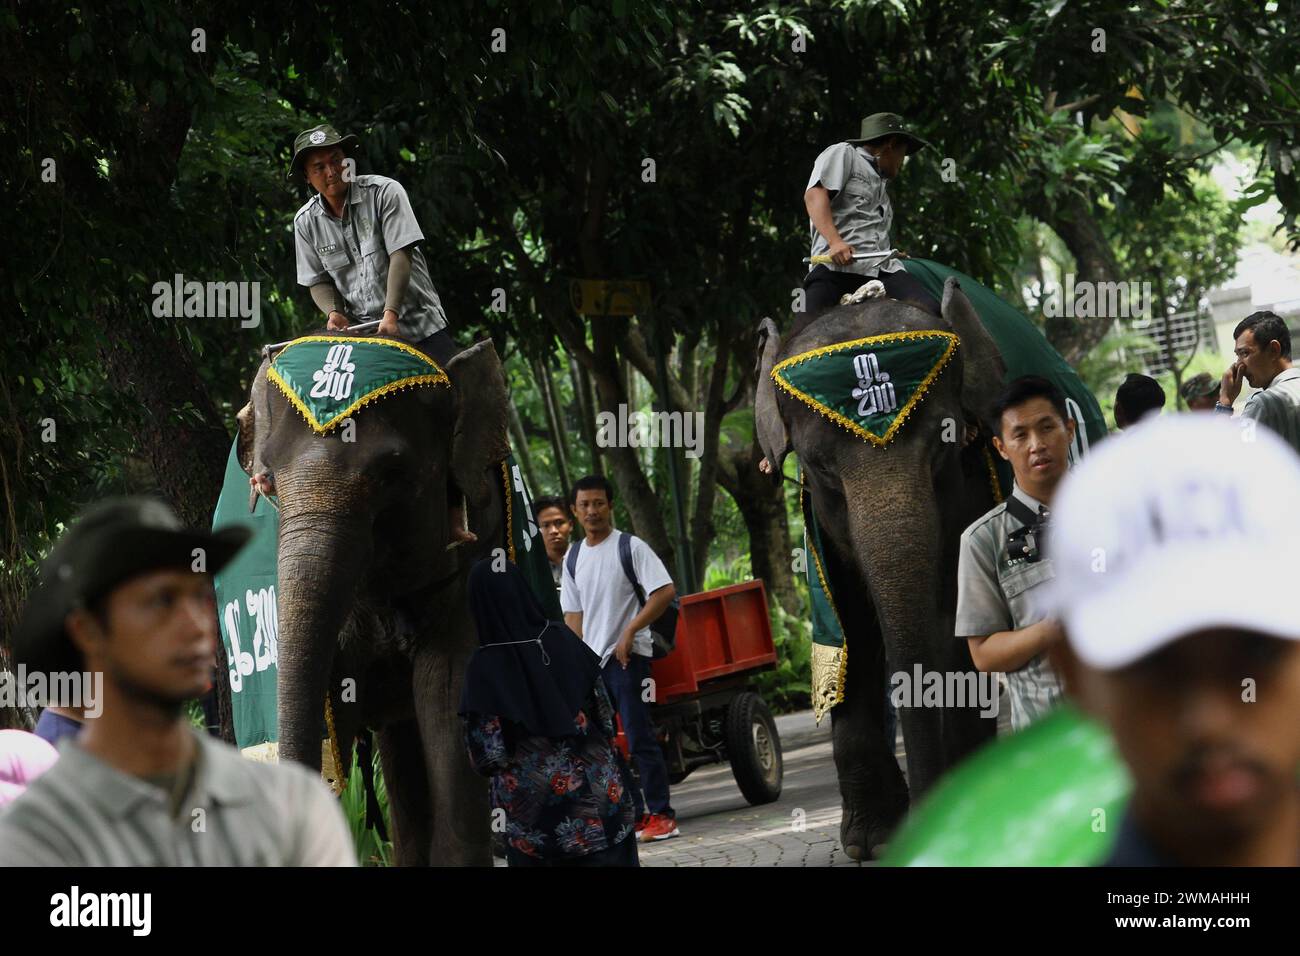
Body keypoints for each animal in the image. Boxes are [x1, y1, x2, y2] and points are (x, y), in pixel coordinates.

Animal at [754, 277, 1003, 858]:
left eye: (944, 447)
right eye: (820, 468)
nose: (928, 826)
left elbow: (951, 625)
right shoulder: (821, 533)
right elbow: (850, 634)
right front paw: (871, 841)